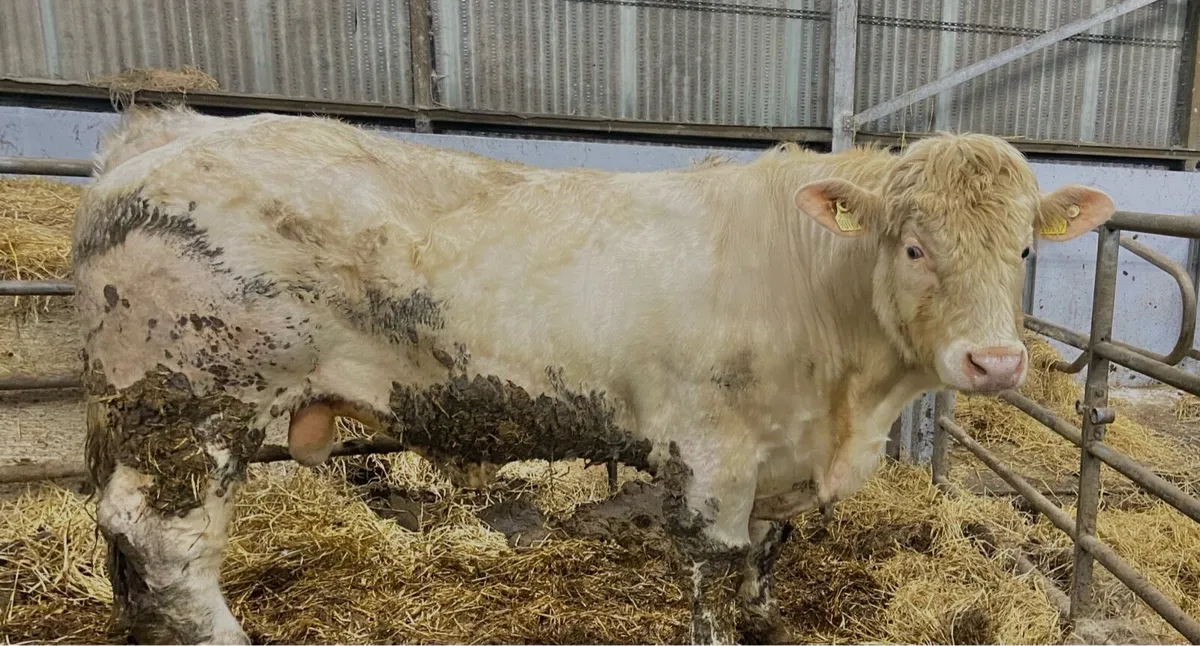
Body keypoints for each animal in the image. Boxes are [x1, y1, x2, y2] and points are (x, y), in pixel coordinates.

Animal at [73, 105, 1114, 645]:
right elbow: (708, 558)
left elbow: (767, 552)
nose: (995, 360)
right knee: (167, 539)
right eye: (912, 246)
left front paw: (765, 619)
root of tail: (166, 133)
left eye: (1025, 249)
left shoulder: (779, 460)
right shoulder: (709, 450)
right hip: (192, 401)